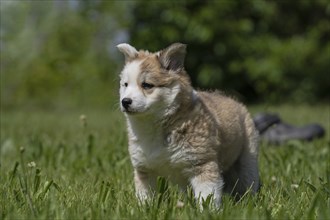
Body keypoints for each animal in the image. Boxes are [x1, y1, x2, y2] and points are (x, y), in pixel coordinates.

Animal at [117, 42, 260, 208]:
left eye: (147, 85)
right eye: (125, 85)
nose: (125, 101)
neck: (156, 125)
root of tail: (233, 100)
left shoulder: (202, 164)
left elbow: (207, 195)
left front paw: (207, 211)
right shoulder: (144, 169)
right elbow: (145, 195)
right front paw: (145, 209)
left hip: (247, 158)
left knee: (248, 181)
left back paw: (249, 203)